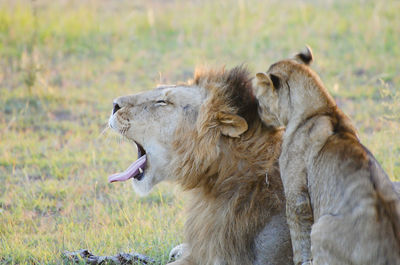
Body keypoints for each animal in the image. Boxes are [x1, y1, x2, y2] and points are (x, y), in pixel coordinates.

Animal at [255, 48, 400, 264]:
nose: (257, 113)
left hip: (320, 228)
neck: (323, 107)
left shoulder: (296, 193)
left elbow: (298, 238)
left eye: (258, 99)